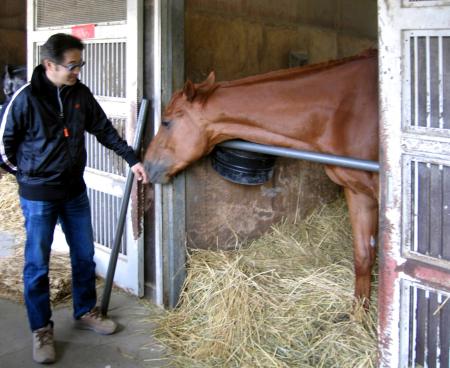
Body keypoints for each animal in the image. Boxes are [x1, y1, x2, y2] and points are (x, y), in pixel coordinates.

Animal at [145, 51, 380, 304]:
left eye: (166, 122)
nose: (147, 166)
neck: (345, 111)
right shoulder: (358, 192)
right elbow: (364, 258)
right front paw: (359, 312)